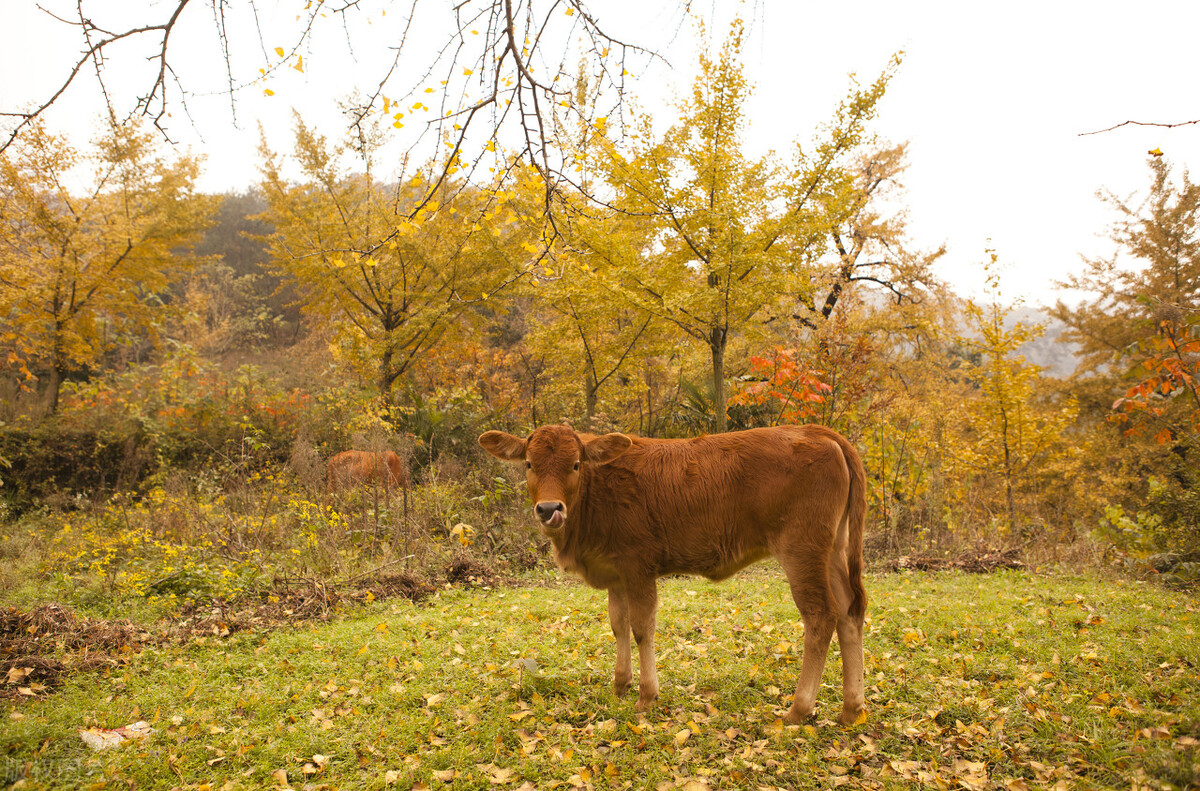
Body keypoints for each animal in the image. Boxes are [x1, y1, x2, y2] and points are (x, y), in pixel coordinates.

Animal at [482, 424, 868, 724]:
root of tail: (816, 431)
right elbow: (618, 624)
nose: (549, 509)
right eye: (529, 464)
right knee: (850, 612)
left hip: (802, 549)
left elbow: (641, 628)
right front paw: (620, 685)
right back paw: (851, 709)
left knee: (821, 615)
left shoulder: (638, 567)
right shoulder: (615, 571)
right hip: (833, 551)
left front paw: (645, 695)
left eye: (575, 464)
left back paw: (798, 709)